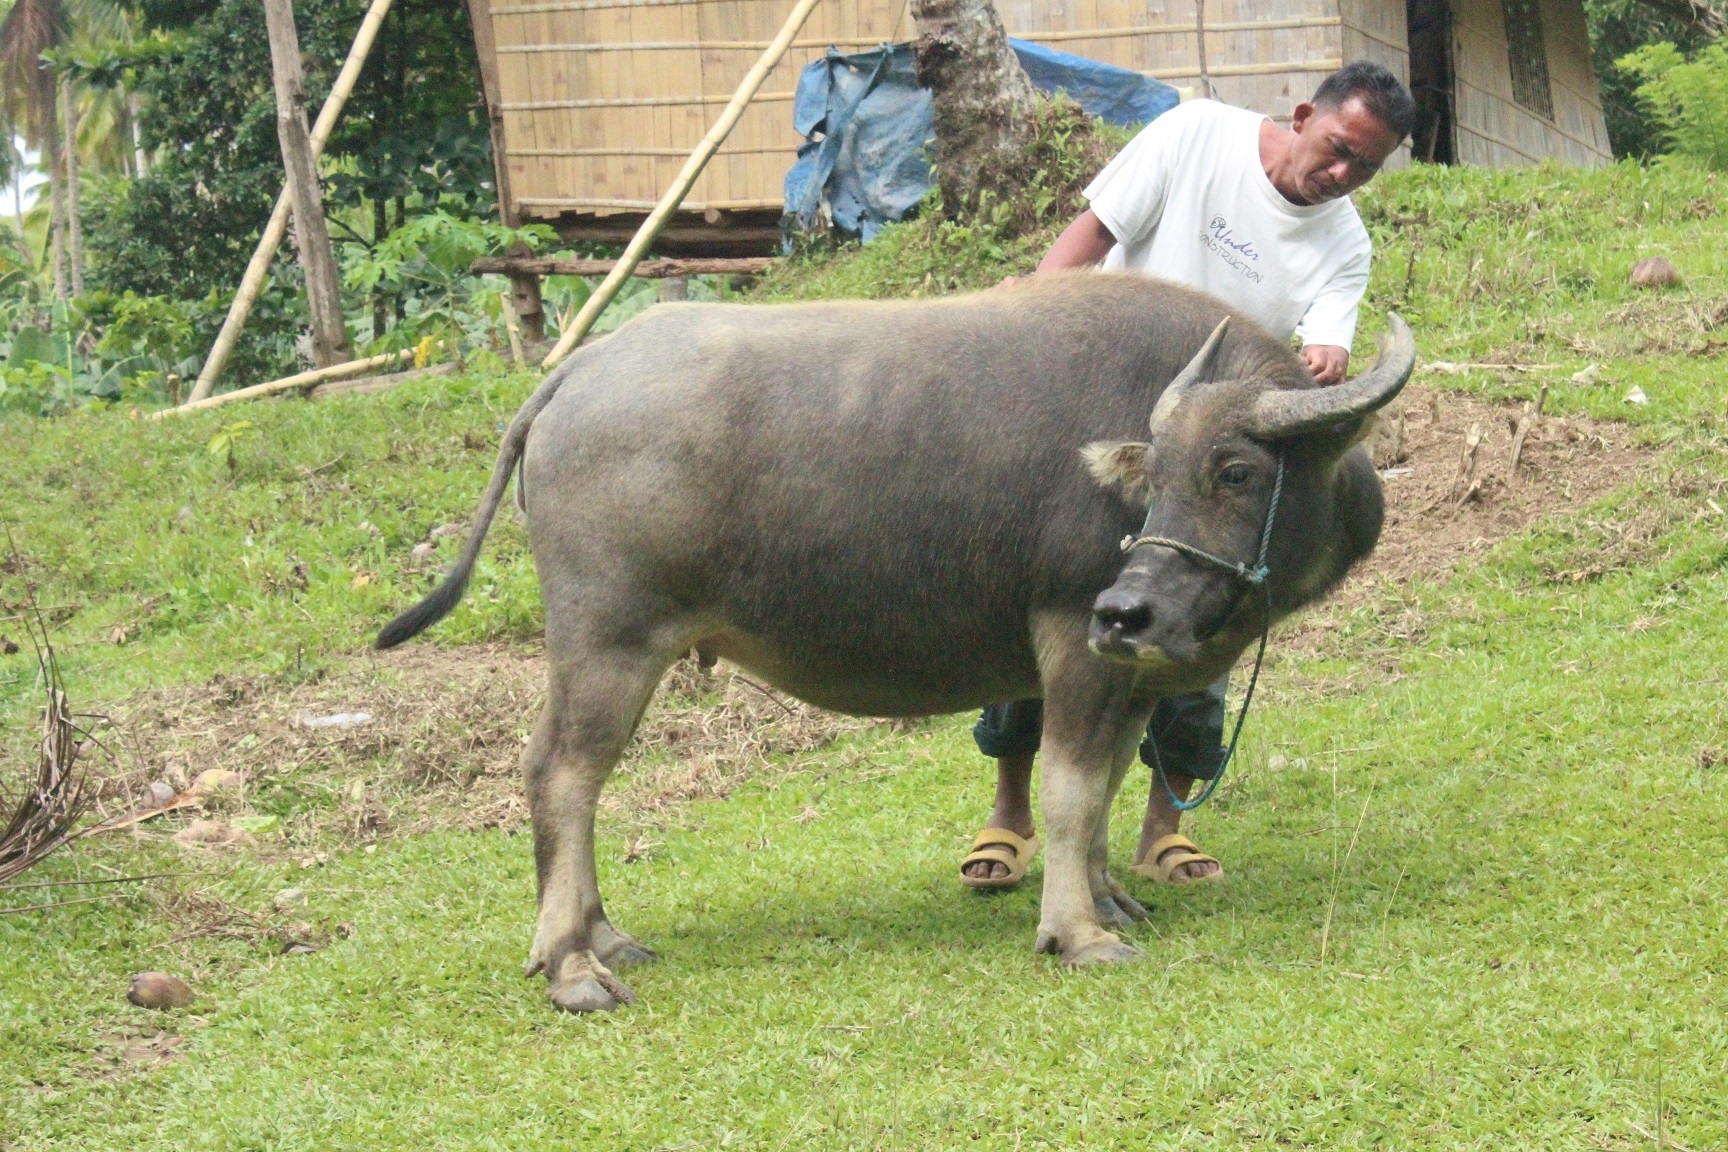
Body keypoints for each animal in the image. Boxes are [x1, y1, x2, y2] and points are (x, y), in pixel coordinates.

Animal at [377, 273, 1414, 1013]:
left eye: (1233, 470)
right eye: (1160, 474)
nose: (1127, 610)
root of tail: (574, 374)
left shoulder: (1130, 676)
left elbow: (1111, 787)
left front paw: (1112, 897)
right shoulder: (1071, 643)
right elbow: (1069, 791)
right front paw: (1077, 933)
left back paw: (605, 937)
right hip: (608, 642)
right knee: (562, 774)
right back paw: (571, 967)